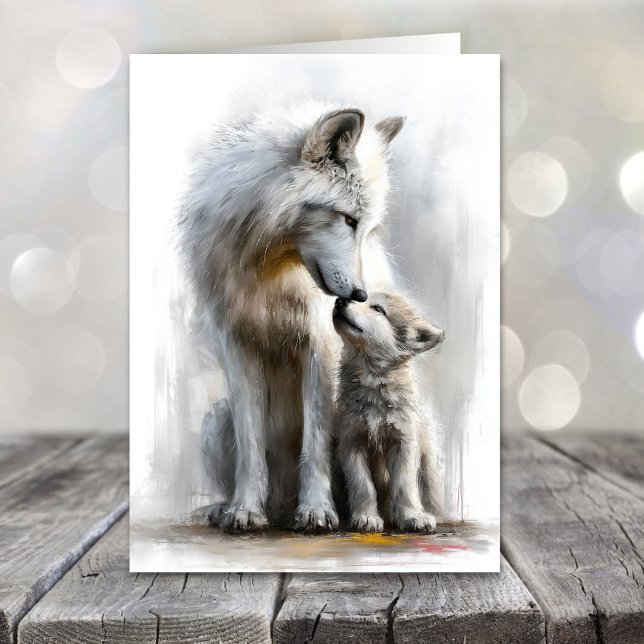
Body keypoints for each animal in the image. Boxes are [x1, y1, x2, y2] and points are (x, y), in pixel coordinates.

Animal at [179, 103, 405, 531]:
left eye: (366, 228)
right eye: (348, 219)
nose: (359, 295)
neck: (269, 267)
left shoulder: (319, 347)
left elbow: (314, 442)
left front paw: (316, 511)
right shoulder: (237, 347)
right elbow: (251, 445)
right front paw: (245, 510)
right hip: (215, 421)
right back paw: (224, 508)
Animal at [332, 292, 444, 533]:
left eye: (378, 309)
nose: (339, 301)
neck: (373, 380)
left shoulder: (404, 442)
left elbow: (404, 484)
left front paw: (412, 517)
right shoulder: (351, 442)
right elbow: (362, 484)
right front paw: (366, 517)